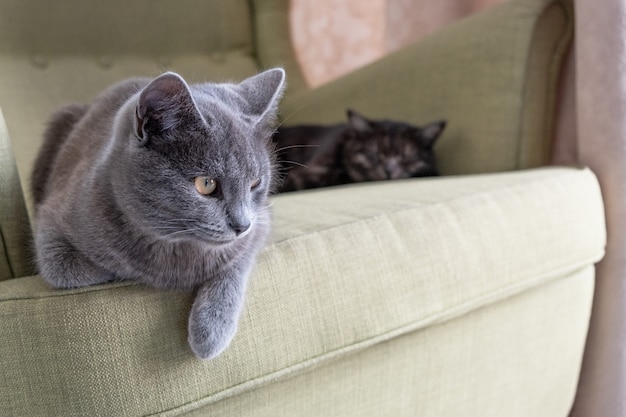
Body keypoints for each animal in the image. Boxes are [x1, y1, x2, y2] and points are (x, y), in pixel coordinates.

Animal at [29, 68, 282, 358]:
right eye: (206, 184)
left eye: (255, 184)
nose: (242, 225)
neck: (176, 245)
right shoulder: (51, 220)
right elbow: (65, 269)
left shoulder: (260, 223)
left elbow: (237, 263)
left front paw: (211, 332)